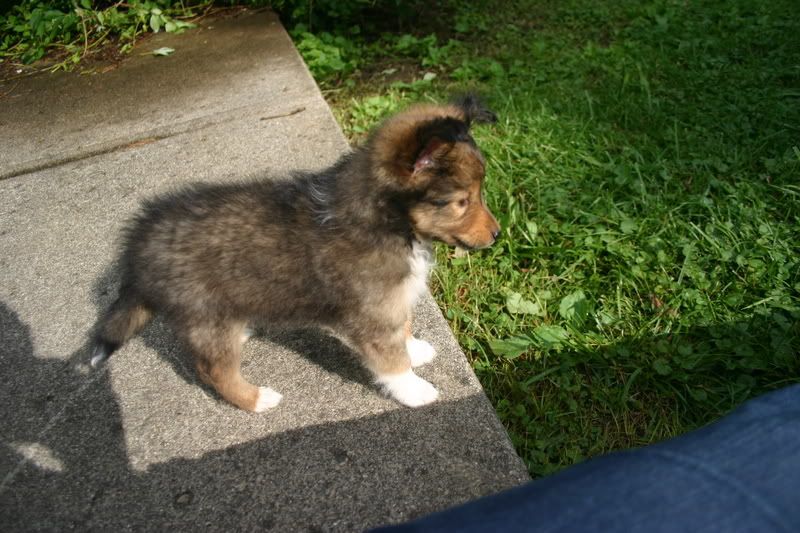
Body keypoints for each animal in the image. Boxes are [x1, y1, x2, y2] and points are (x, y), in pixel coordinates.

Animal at [89, 95, 500, 412]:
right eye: (461, 201)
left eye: (478, 192)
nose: (496, 235)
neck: (387, 222)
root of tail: (139, 247)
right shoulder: (373, 314)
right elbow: (390, 357)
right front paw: (415, 390)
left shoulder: (390, 302)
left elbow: (404, 327)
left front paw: (415, 350)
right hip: (205, 315)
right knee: (213, 370)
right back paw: (256, 399)